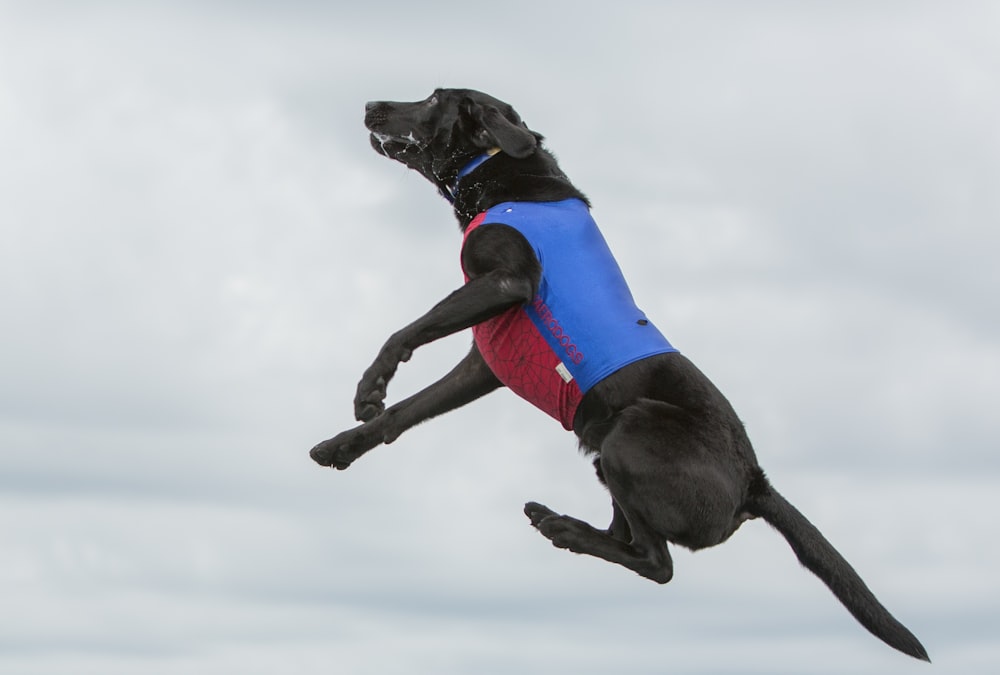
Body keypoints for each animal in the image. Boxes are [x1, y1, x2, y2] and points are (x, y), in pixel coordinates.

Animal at [312, 87, 928, 664]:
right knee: (626, 538)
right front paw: (344, 444)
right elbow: (407, 411)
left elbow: (405, 332)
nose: (370, 104)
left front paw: (370, 386)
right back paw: (560, 523)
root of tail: (757, 483)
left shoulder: (506, 284)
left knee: (657, 563)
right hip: (605, 451)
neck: (504, 179)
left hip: (631, 433)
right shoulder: (485, 361)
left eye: (435, 98)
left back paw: (562, 528)